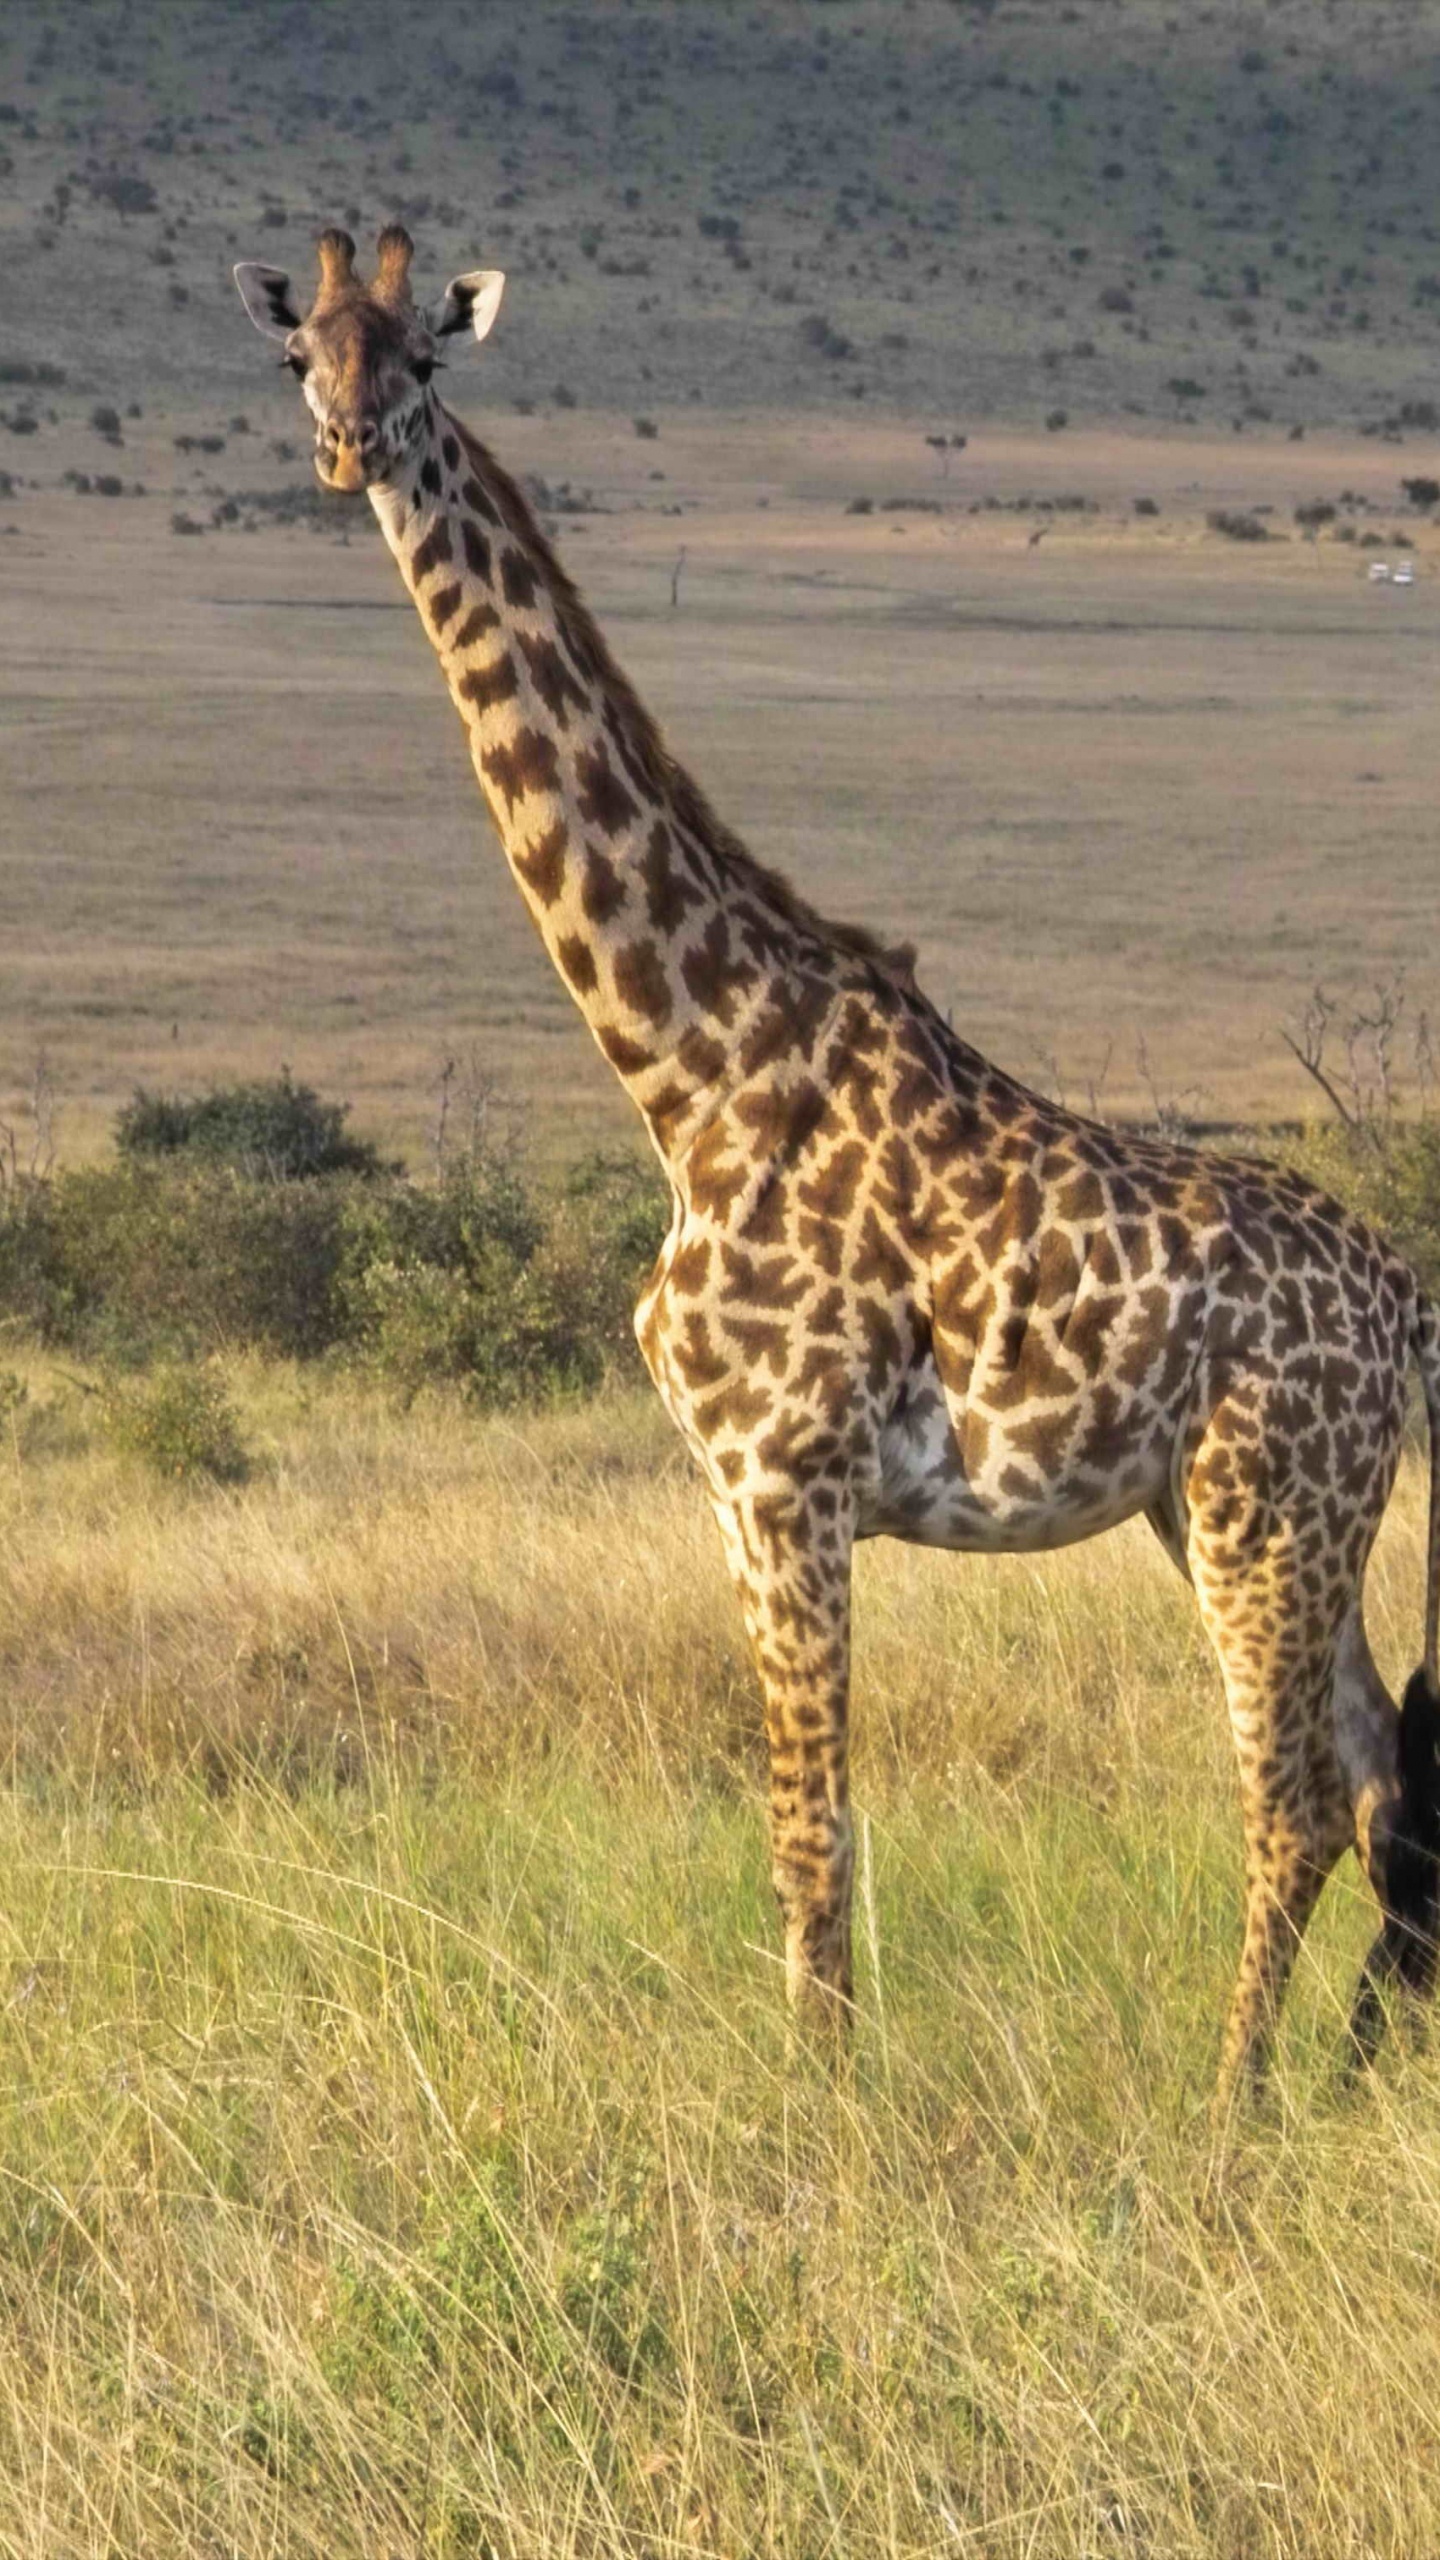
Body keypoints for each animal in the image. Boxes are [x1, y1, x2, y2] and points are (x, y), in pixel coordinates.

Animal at [235, 227, 1440, 2105]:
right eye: (304, 358)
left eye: (421, 361)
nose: (349, 452)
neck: (692, 1066)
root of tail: (1401, 1304)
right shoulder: (738, 1494)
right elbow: (808, 1834)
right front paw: (825, 2081)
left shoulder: (788, 1477)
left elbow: (814, 1835)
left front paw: (820, 2111)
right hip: (1232, 1508)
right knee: (1381, 1779)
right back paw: (1340, 2082)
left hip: (1272, 1501)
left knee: (1298, 1798)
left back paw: (1234, 2100)